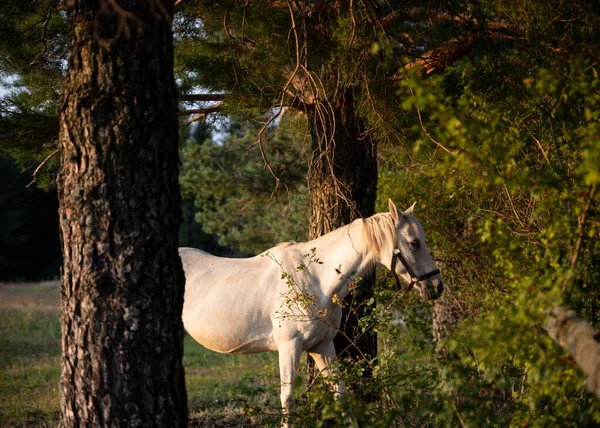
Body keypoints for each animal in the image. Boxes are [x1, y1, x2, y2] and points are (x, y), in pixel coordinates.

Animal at [178, 200, 440, 424]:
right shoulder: (289, 347)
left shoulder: (322, 346)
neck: (314, 279)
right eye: (414, 242)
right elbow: (287, 399)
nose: (437, 286)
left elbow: (340, 394)